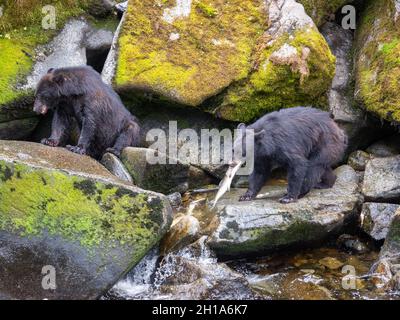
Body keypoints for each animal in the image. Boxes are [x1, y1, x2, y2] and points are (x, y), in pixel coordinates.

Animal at [216, 106, 346, 204]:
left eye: (243, 152)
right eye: (233, 150)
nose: (232, 164)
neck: (267, 145)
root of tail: (339, 129)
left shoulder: (284, 145)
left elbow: (297, 164)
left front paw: (289, 197)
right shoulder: (261, 156)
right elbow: (259, 172)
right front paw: (246, 195)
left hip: (325, 143)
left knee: (314, 167)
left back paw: (301, 191)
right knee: (322, 167)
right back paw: (325, 183)